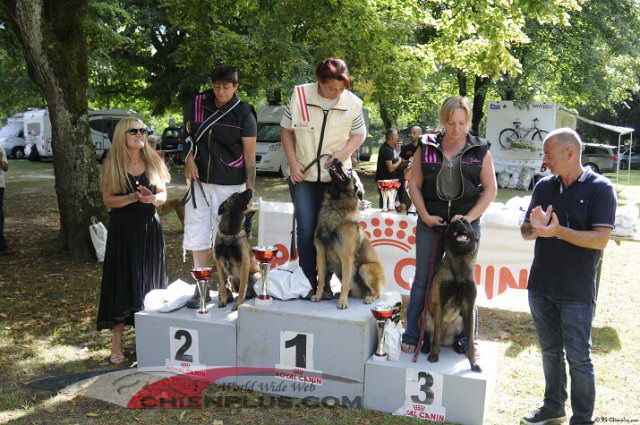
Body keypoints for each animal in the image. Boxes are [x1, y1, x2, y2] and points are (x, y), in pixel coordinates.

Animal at [312, 159, 384, 309]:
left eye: (350, 171)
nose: (336, 159)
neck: (335, 206)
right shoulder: (320, 252)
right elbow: (321, 278)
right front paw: (318, 295)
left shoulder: (346, 258)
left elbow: (345, 282)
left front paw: (343, 302)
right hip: (338, 268)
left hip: (364, 268)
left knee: (376, 292)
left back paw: (369, 297)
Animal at [420, 219, 481, 372]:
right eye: (452, 224)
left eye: (466, 222)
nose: (459, 220)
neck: (459, 264)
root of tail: (445, 339)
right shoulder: (439, 305)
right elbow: (435, 335)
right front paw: (434, 355)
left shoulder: (469, 309)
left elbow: (470, 341)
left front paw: (473, 363)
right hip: (425, 316)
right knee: (428, 337)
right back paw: (426, 347)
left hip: (460, 321)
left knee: (456, 339)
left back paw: (458, 347)